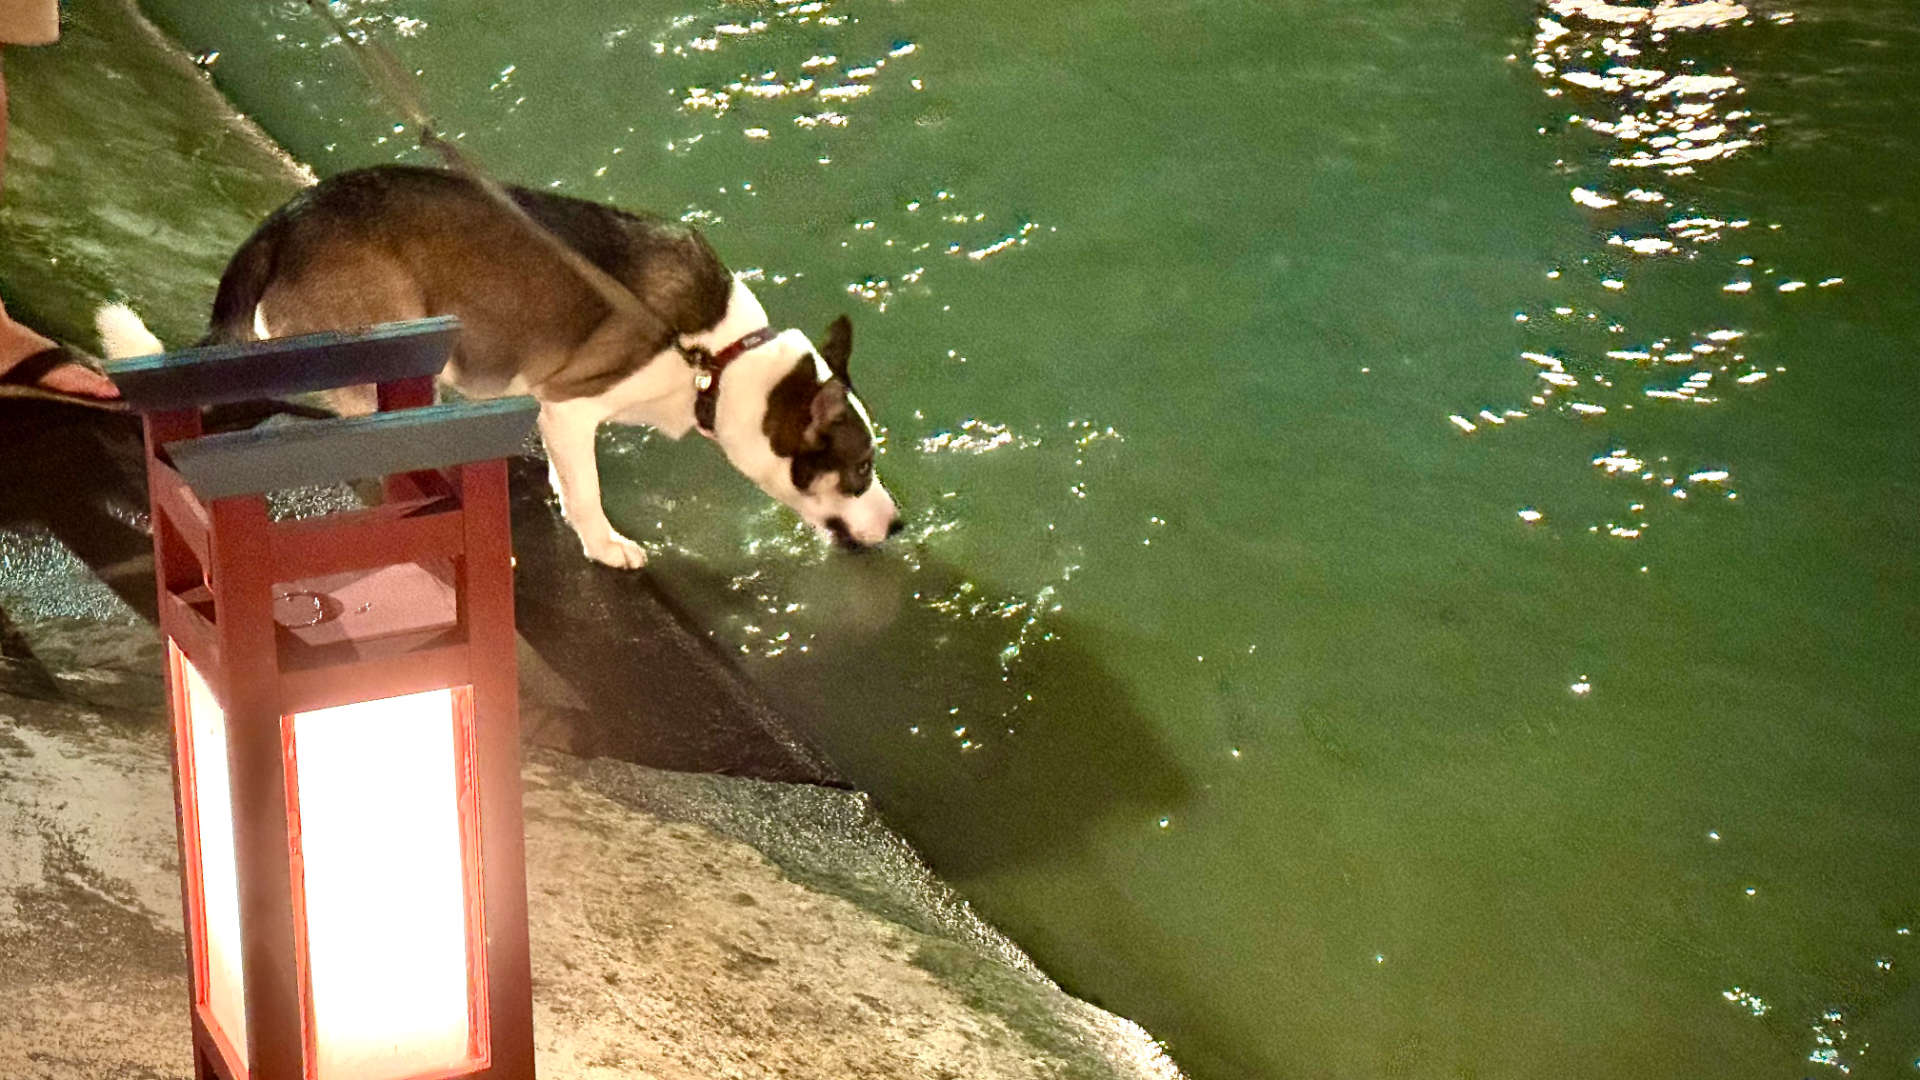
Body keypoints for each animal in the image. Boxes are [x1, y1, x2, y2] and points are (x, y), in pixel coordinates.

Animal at [103, 164, 906, 568]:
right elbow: (588, 490)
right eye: (861, 468)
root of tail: (287, 217)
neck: (720, 361)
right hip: (389, 346)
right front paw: (603, 544)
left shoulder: (557, 417)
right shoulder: (572, 405)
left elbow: (567, 477)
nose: (899, 526)